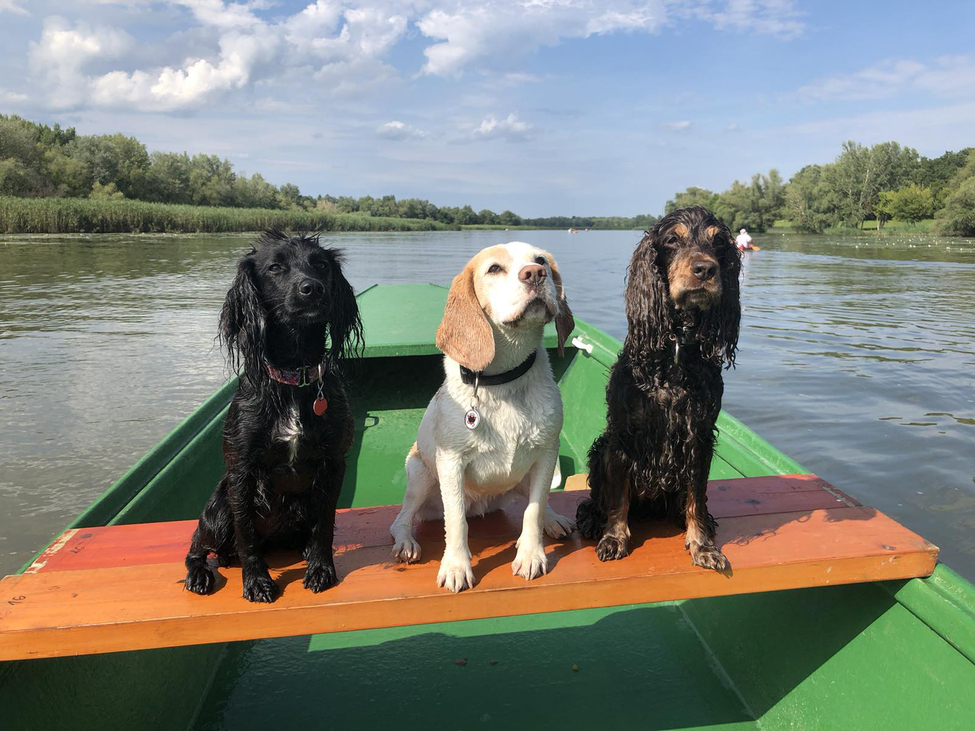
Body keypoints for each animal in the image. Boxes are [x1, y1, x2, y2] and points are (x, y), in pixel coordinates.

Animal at [185, 232, 364, 604]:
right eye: (275, 268)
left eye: (321, 265)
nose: (312, 289)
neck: (293, 378)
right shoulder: (241, 471)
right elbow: (247, 536)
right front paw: (256, 581)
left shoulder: (333, 463)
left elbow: (325, 526)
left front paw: (321, 569)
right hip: (218, 507)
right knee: (197, 547)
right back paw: (200, 574)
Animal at [388, 243, 576, 592]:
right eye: (494, 269)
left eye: (540, 260)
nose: (535, 274)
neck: (503, 382)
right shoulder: (451, 463)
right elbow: (456, 522)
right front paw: (456, 566)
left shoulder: (547, 453)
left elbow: (534, 510)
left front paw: (531, 554)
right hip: (420, 477)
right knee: (402, 519)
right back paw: (406, 541)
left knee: (541, 503)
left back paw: (554, 519)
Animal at [580, 206, 740, 572]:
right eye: (672, 240)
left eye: (719, 241)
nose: (705, 269)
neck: (676, 350)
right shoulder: (623, 436)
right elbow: (618, 496)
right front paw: (614, 538)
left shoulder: (699, 435)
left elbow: (696, 496)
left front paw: (702, 545)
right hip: (600, 448)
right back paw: (593, 519)